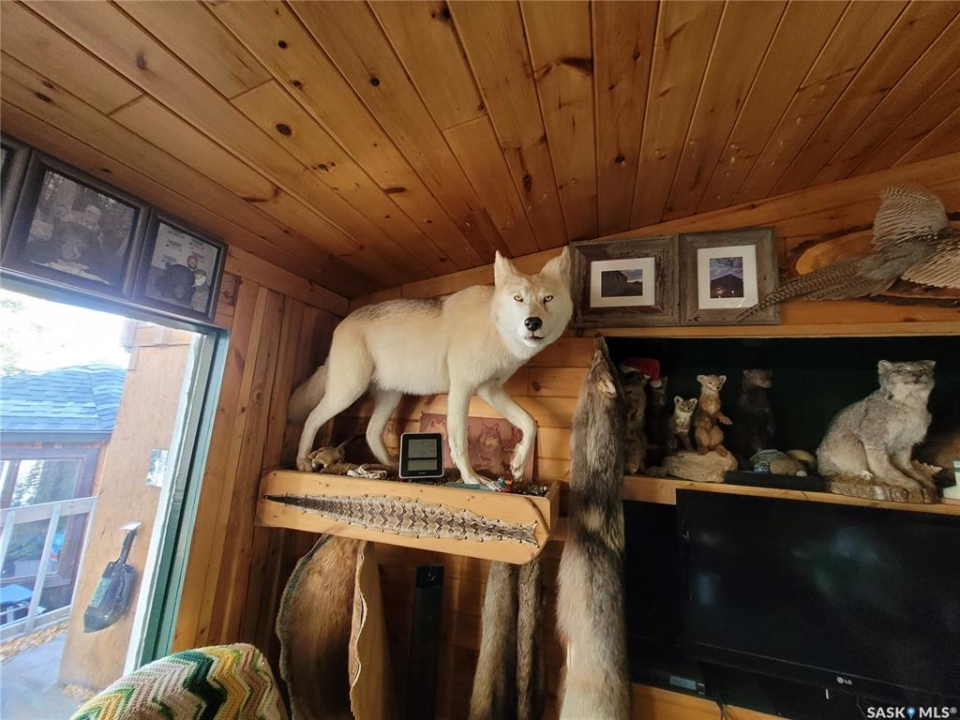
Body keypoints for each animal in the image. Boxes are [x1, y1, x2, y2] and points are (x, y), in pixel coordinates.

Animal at [289, 249, 573, 487]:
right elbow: (459, 439)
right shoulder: (462, 388)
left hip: (389, 398)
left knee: (371, 432)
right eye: (518, 299)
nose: (532, 323)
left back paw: (391, 466)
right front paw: (472, 479)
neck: (494, 327)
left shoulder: (489, 390)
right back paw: (303, 461)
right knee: (312, 418)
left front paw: (518, 464)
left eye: (547, 299)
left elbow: (529, 423)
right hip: (348, 392)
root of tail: (341, 323)